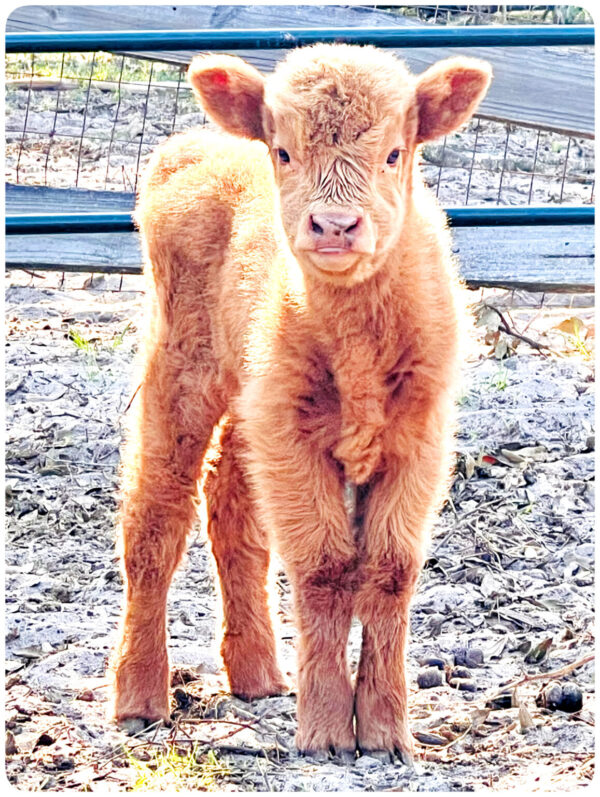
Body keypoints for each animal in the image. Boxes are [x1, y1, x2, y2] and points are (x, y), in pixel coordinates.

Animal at [111, 42, 492, 760]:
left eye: (394, 153)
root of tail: (197, 147)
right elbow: (323, 568)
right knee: (157, 516)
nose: (335, 226)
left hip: (248, 403)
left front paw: (387, 731)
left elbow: (389, 571)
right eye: (284, 151)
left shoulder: (418, 440)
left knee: (233, 513)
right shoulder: (293, 441)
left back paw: (259, 675)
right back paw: (138, 696)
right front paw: (325, 730)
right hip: (179, 373)